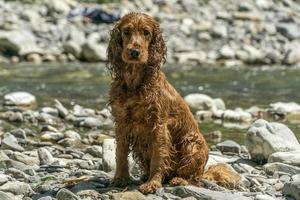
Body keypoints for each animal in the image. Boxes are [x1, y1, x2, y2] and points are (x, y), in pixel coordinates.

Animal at [106, 12, 226, 194]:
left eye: (146, 32)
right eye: (126, 31)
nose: (134, 52)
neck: (134, 83)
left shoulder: (159, 126)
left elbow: (158, 156)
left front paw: (153, 183)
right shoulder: (121, 123)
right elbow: (120, 153)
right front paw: (120, 178)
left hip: (192, 144)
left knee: (194, 178)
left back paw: (179, 179)